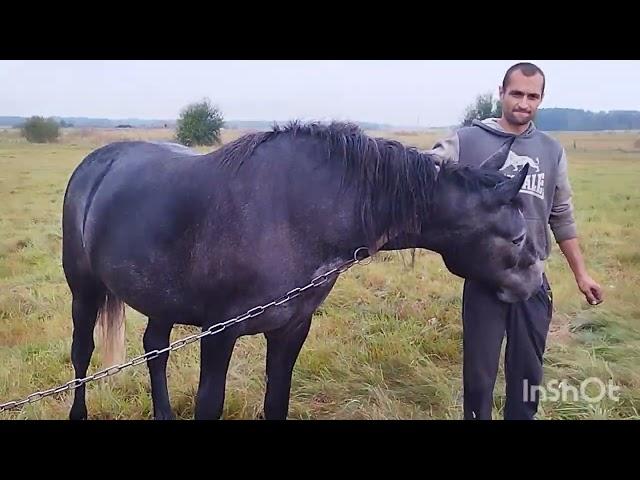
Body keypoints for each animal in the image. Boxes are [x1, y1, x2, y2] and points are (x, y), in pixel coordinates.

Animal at [61, 121, 540, 420]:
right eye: (517, 238)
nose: (534, 285)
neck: (296, 213)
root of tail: (95, 163)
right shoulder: (219, 333)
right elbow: (209, 404)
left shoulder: (291, 328)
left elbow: (277, 401)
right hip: (84, 291)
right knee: (82, 353)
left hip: (160, 298)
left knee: (154, 349)